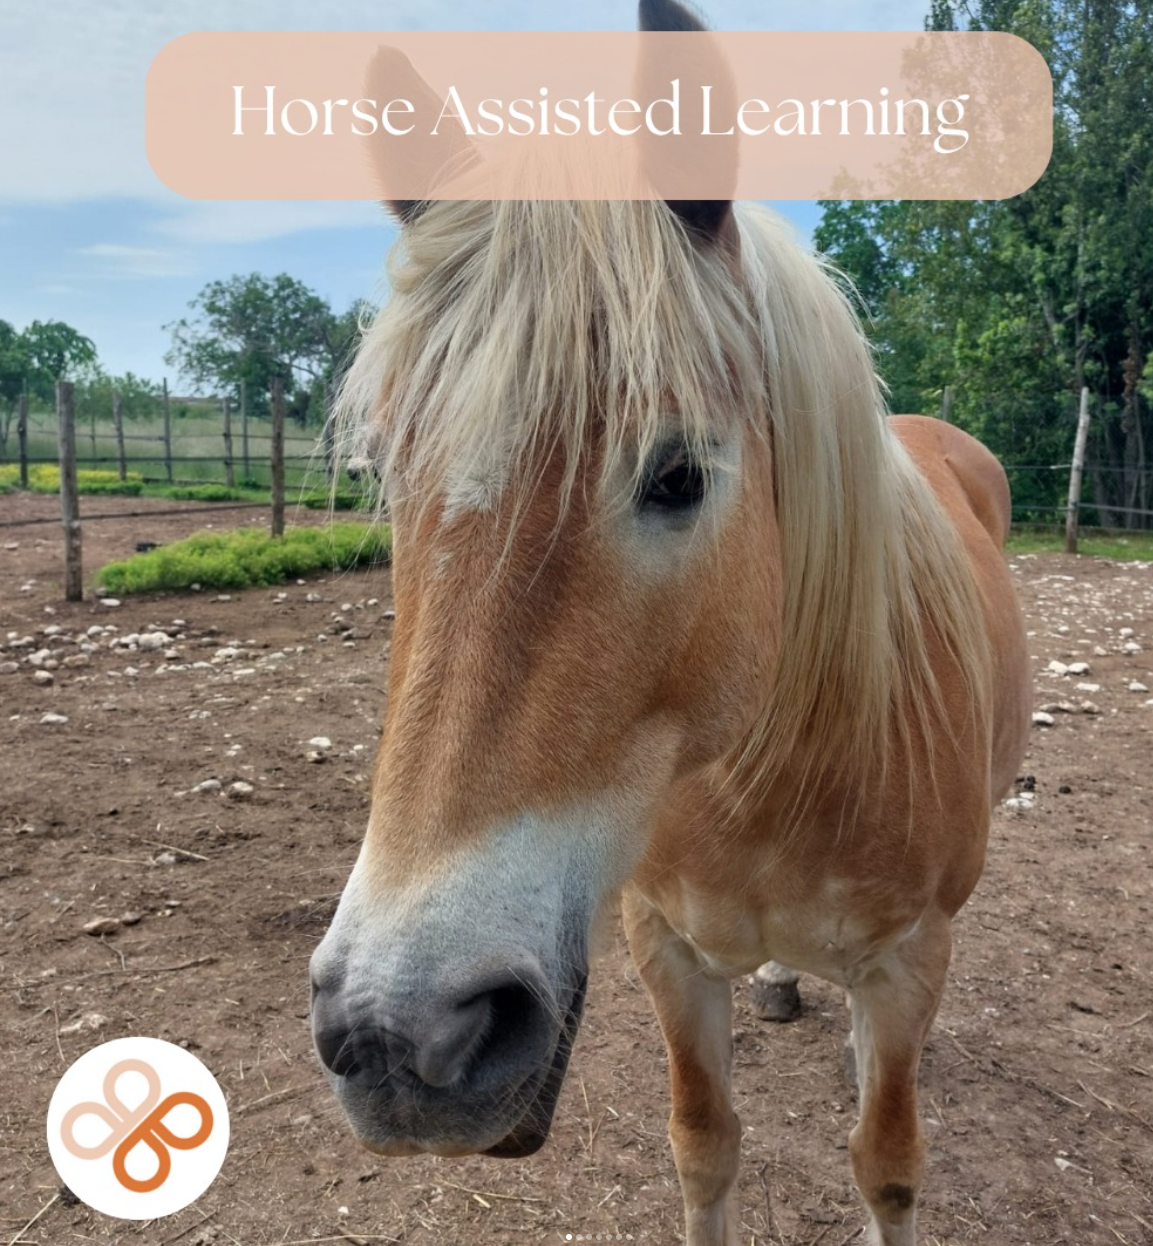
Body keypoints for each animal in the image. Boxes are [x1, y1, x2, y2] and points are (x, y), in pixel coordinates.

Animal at [309, 7, 1032, 1243]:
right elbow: (703, 1144)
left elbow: (887, 1162)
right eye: (388, 478)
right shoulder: (665, 951)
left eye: (679, 474)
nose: (400, 1033)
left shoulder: (905, 966)